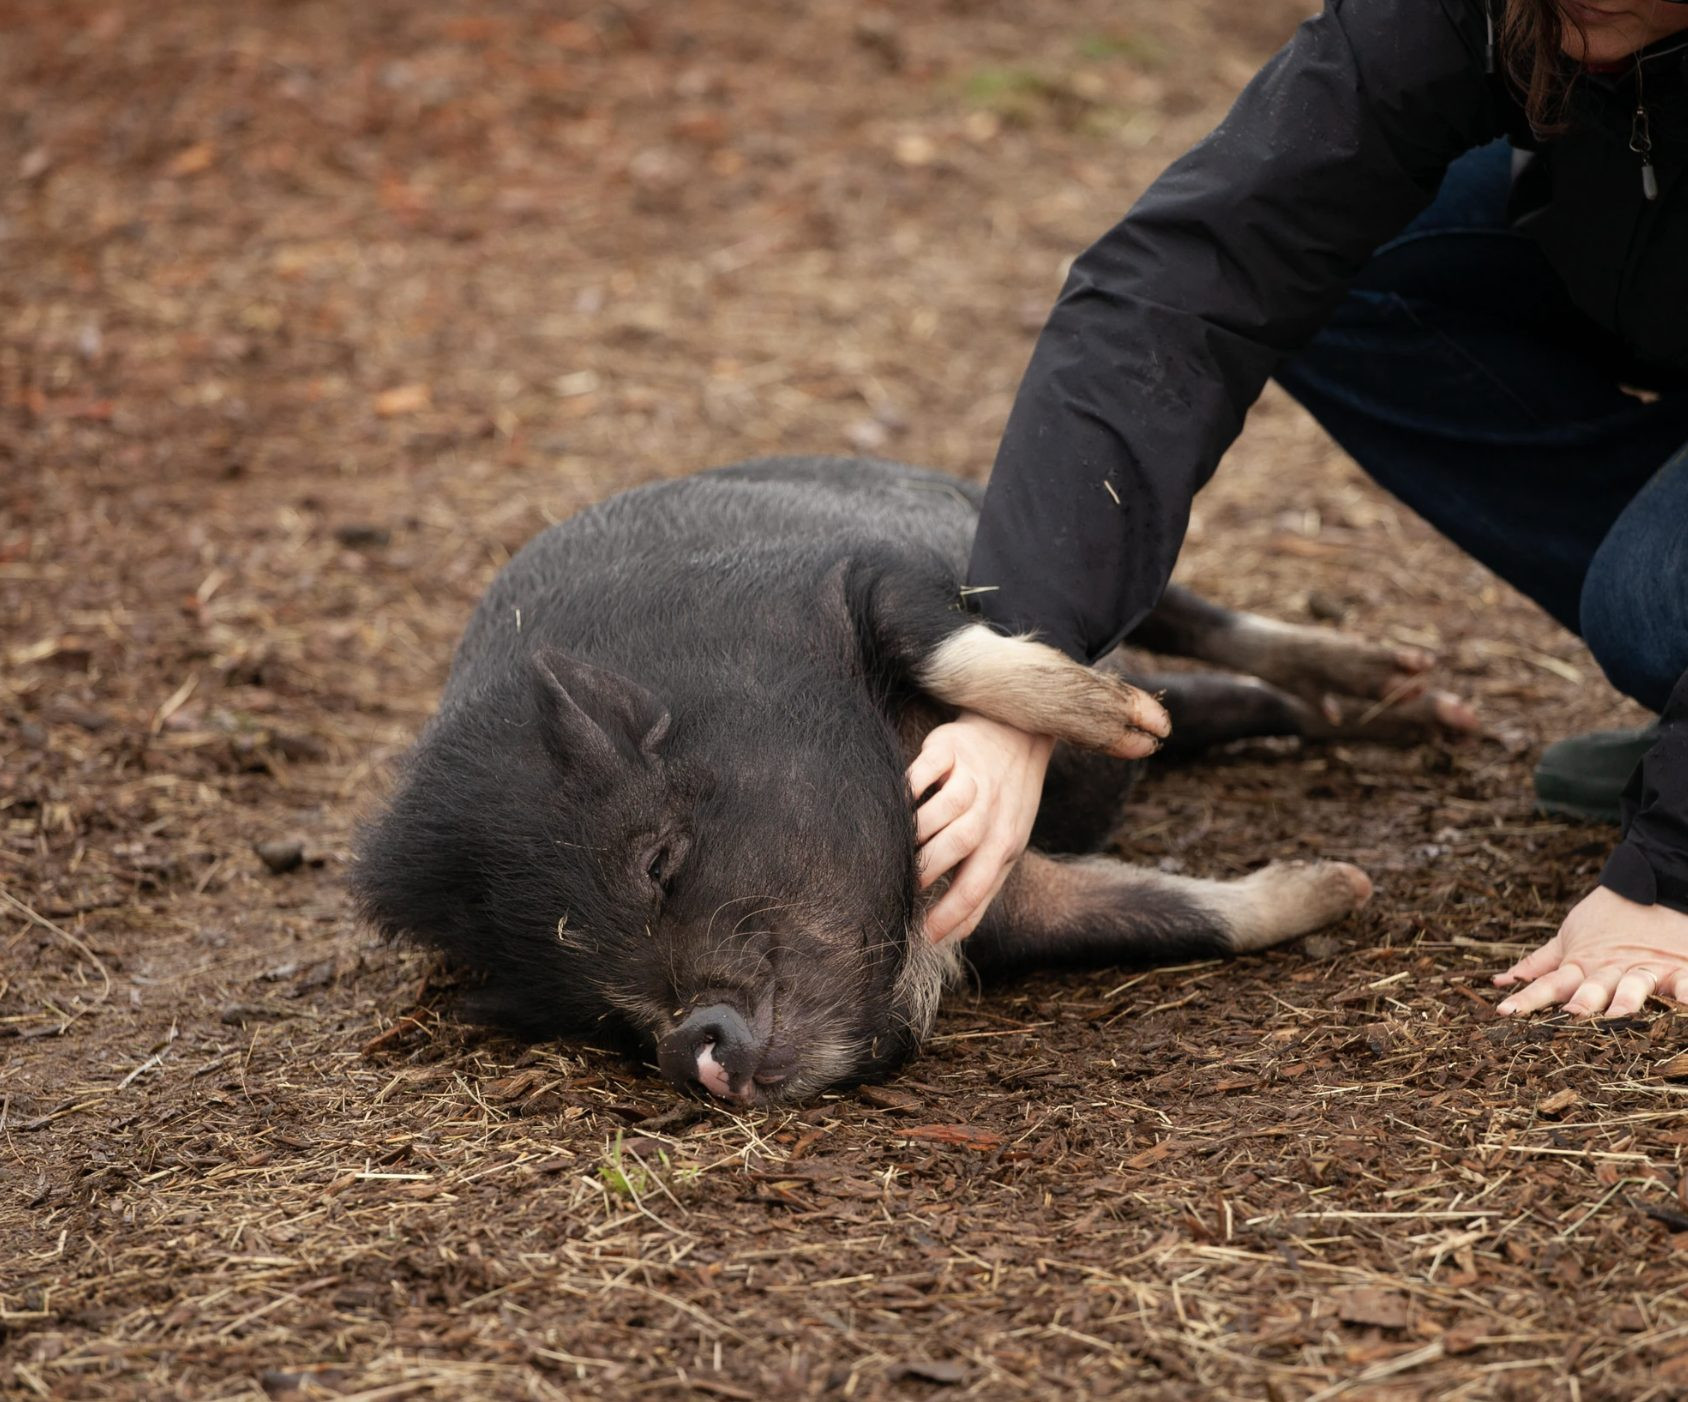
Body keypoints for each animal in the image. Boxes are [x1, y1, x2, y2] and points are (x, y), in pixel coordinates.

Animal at [359, 458, 1465, 1106]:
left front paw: (1119, 725)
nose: (687, 1048)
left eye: (660, 860)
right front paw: (1340, 884)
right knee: (1211, 696)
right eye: (590, 1011)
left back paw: (1408, 693)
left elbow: (951, 646)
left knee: (1198, 620)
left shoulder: (864, 576)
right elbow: (1169, 917)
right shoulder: (1007, 905)